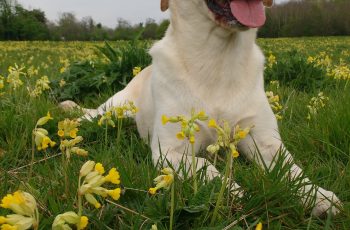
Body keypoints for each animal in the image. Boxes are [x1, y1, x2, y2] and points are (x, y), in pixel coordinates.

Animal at [61, 0, 340, 216]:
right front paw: (231, 190)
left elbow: (292, 170)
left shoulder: (265, 141)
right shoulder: (170, 150)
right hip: (112, 109)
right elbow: (206, 167)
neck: (218, 58)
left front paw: (318, 196)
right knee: (90, 114)